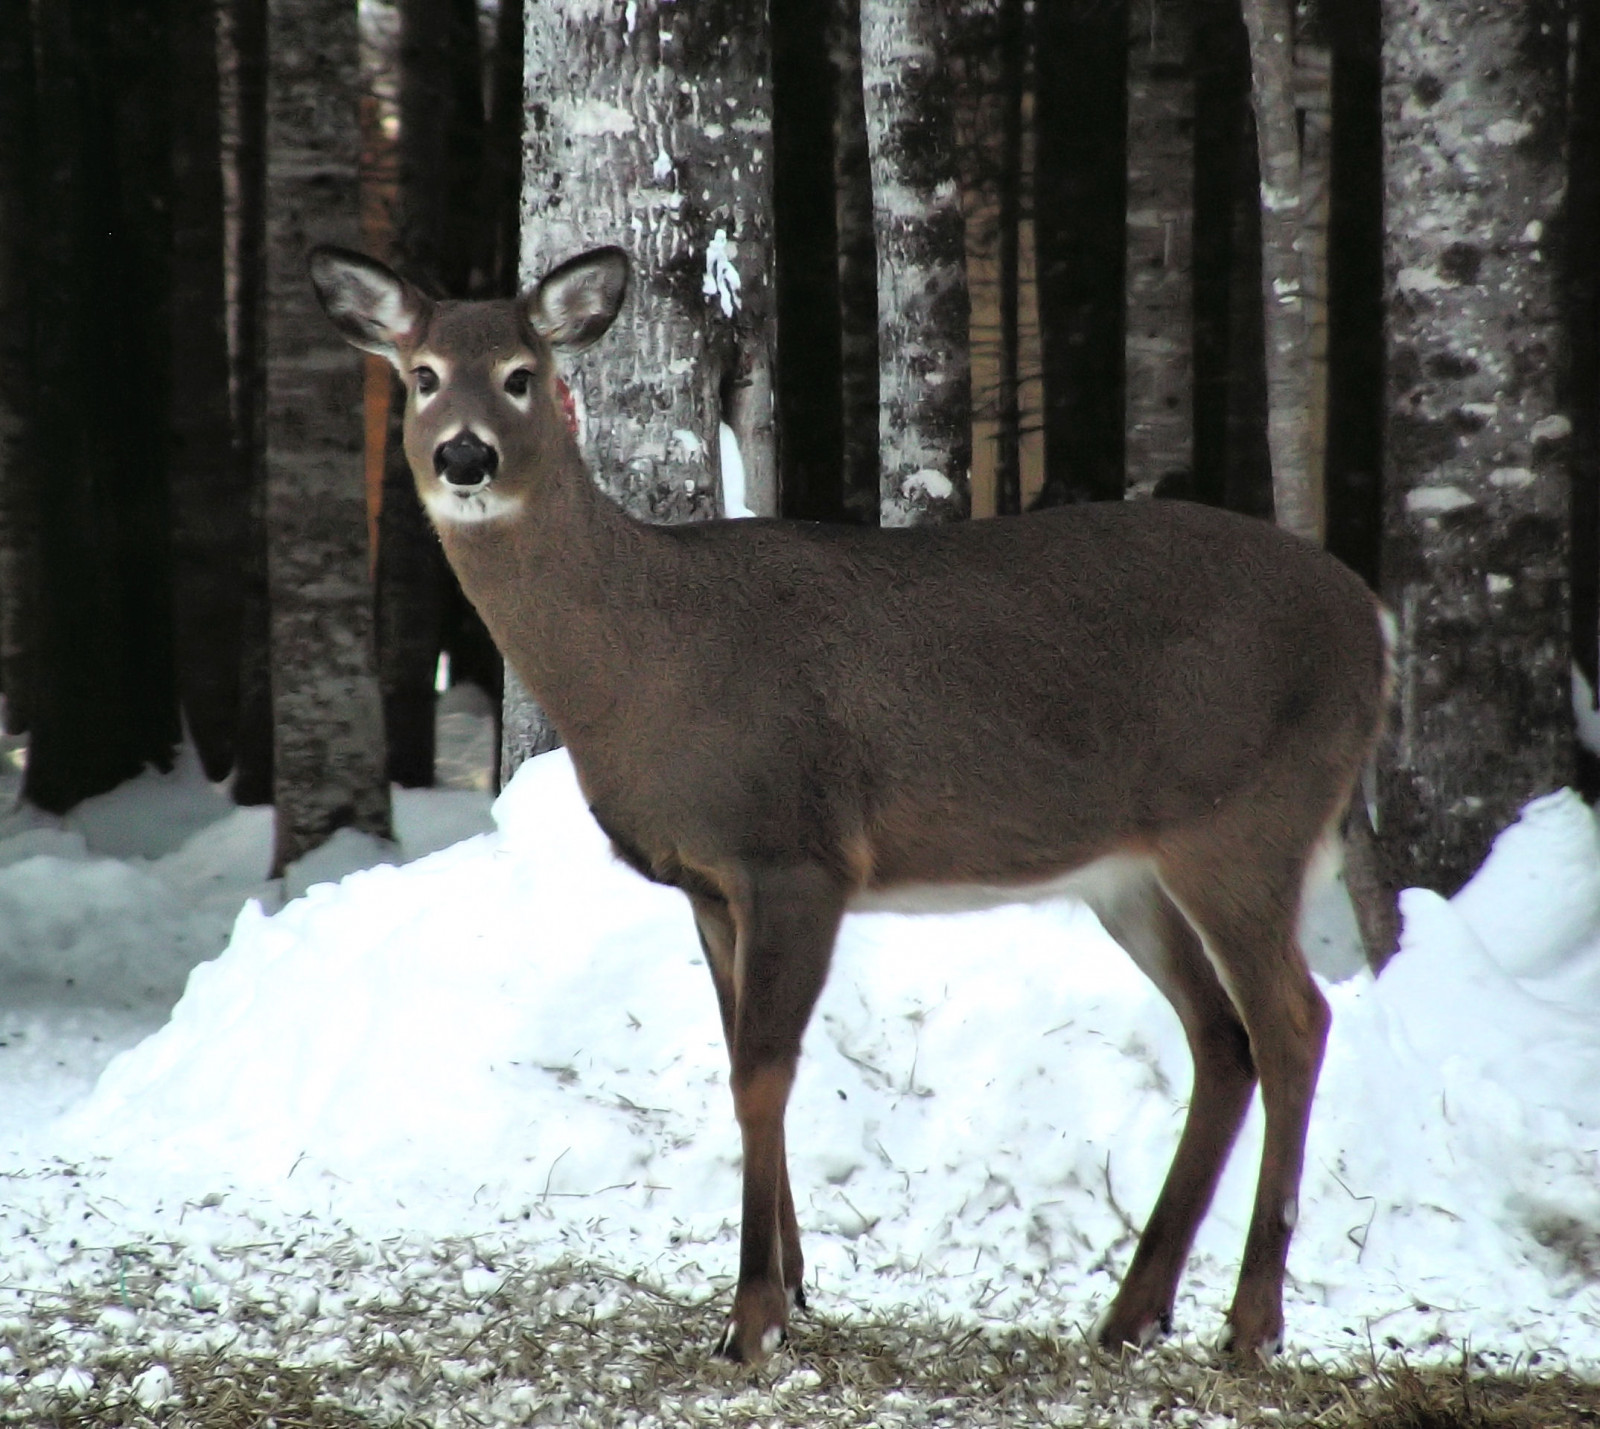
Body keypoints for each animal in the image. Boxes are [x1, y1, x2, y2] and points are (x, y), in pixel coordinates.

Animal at [309, 241, 1393, 1366]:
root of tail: (1373, 620)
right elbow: (739, 1057)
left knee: (1293, 1021)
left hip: (1247, 820)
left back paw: (1252, 1322)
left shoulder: (796, 854)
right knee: (1221, 1037)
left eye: (521, 374)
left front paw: (752, 1316)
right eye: (423, 375)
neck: (647, 662)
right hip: (1131, 871)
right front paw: (792, 1283)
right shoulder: (708, 883)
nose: (464, 456)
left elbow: (762, 1074)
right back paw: (1134, 1311)